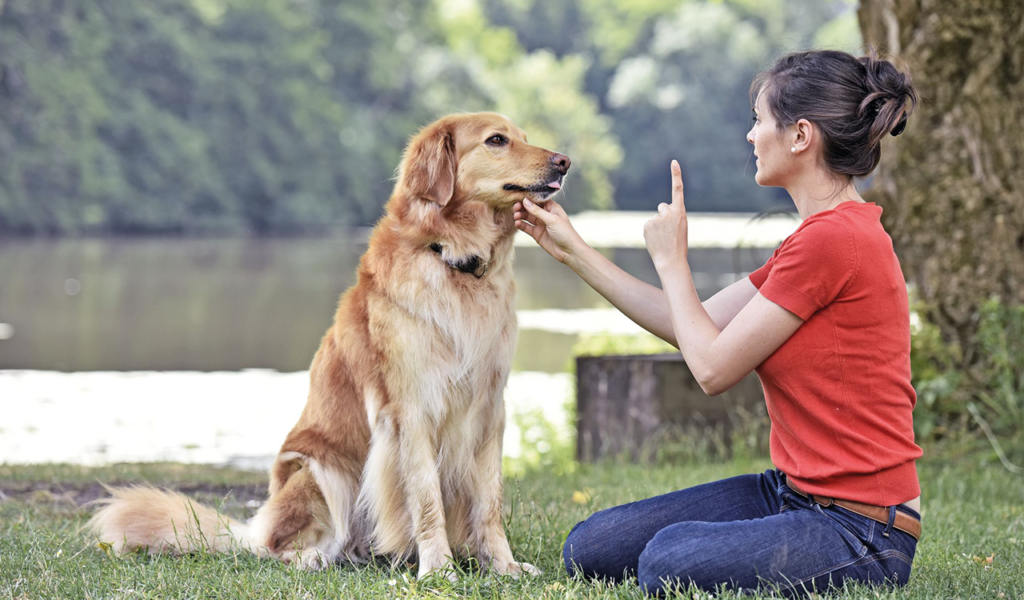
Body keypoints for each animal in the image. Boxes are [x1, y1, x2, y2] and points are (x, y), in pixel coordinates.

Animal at [89, 109, 573, 577]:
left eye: (523, 136)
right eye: (496, 140)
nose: (564, 161)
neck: (453, 260)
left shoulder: (489, 408)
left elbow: (489, 502)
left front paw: (503, 565)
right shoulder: (412, 409)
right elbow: (426, 497)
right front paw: (438, 569)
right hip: (319, 470)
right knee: (275, 547)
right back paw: (314, 558)